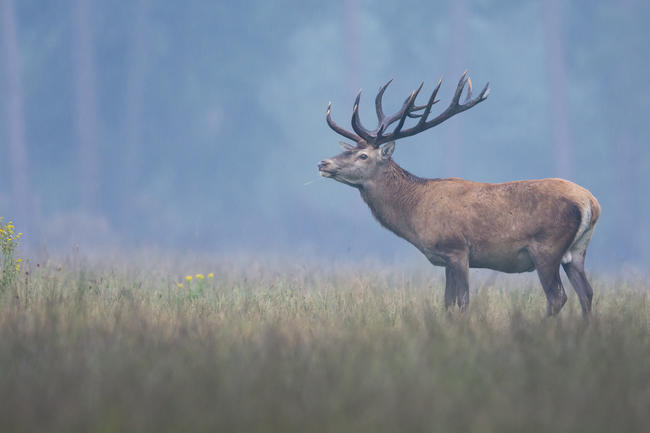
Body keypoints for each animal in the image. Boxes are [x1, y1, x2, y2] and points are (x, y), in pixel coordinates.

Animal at [318, 71, 596, 314]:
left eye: (363, 155)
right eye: (348, 149)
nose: (323, 163)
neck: (415, 210)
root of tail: (590, 203)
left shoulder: (456, 249)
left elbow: (461, 302)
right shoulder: (446, 259)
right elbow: (448, 303)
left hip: (546, 247)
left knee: (557, 297)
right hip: (577, 251)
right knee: (587, 294)